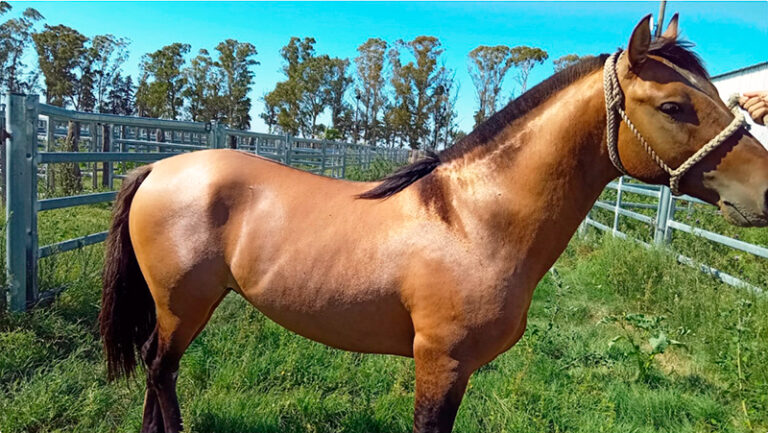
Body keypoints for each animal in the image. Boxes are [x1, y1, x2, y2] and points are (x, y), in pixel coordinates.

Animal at [99, 14, 768, 433]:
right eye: (674, 106)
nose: (764, 190)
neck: (474, 221)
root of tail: (159, 167)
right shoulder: (440, 362)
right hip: (182, 304)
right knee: (160, 369)